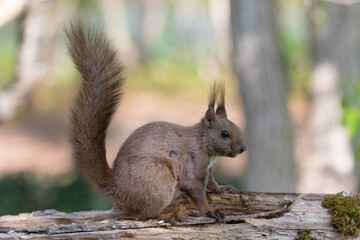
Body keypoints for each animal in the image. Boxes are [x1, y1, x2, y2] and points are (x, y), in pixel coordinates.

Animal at [65, 21, 245, 224]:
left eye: (236, 126)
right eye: (224, 133)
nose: (243, 148)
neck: (204, 144)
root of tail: (119, 188)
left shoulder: (209, 170)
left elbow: (212, 184)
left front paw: (223, 188)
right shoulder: (194, 165)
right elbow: (197, 192)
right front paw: (211, 211)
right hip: (159, 177)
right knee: (146, 214)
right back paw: (170, 214)